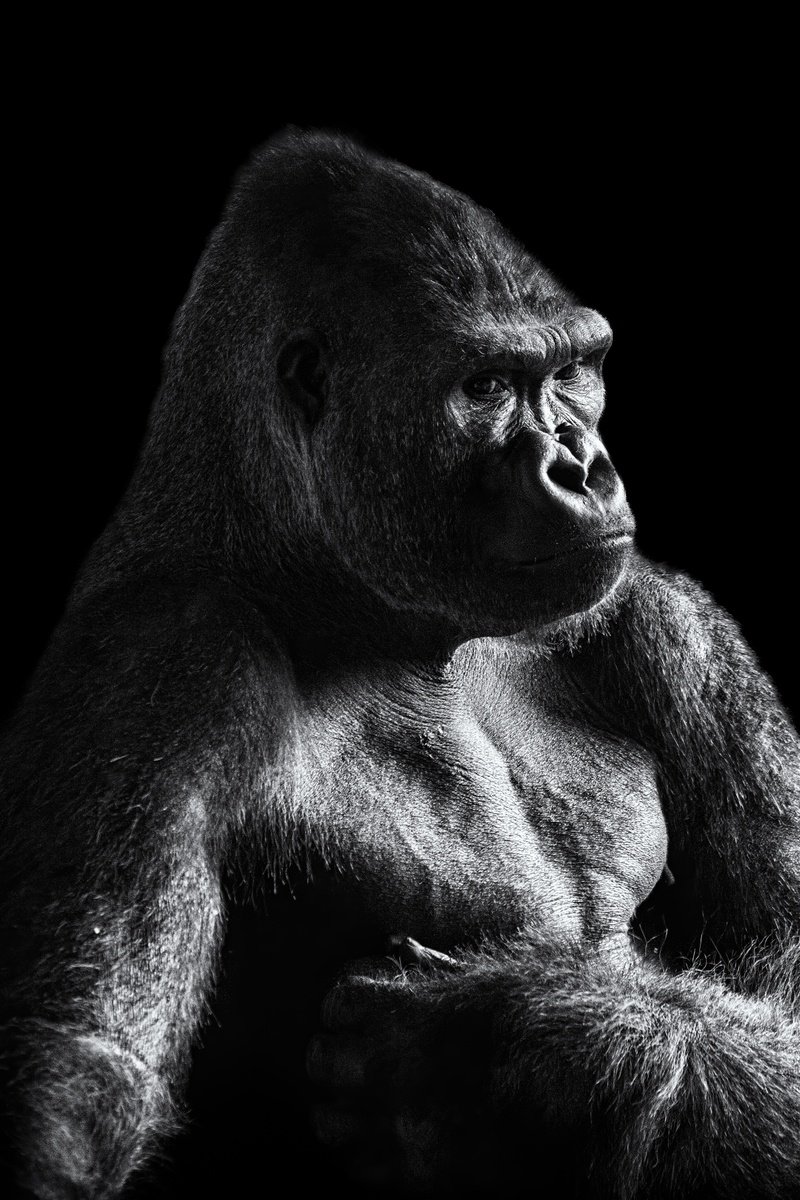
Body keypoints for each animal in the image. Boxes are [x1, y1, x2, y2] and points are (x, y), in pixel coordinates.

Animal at [0, 129, 797, 1199]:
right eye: (487, 386)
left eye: (577, 370)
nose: (585, 466)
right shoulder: (157, 654)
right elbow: (81, 1068)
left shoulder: (673, 626)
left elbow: (785, 975)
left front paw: (504, 1063)